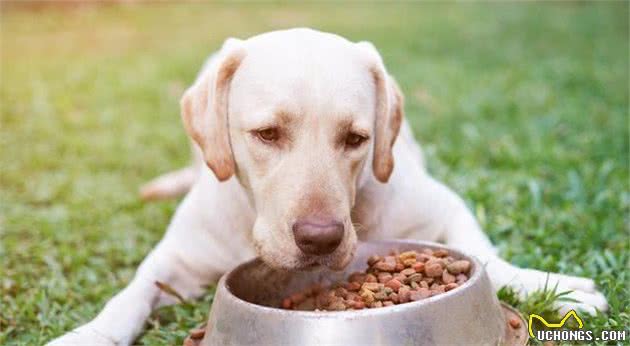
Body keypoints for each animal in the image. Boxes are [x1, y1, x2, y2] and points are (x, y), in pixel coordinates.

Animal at [48, 28, 608, 344]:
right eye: (266, 133)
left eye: (356, 138)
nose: (320, 239)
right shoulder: (176, 259)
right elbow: (132, 293)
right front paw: (87, 334)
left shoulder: (442, 205)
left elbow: (486, 256)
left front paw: (549, 286)